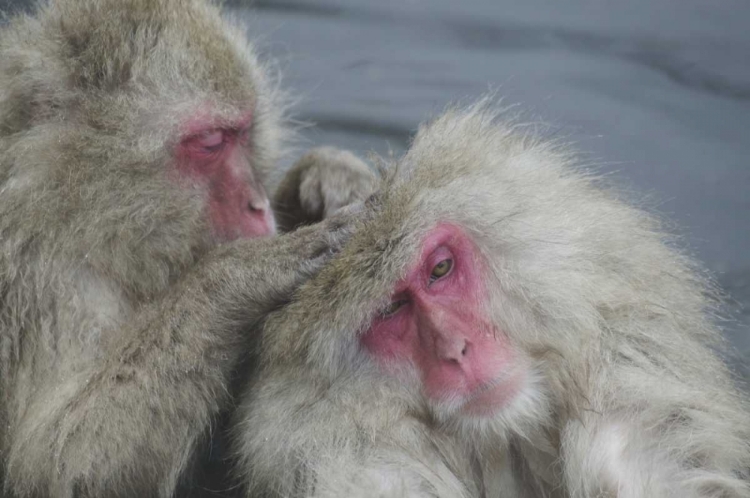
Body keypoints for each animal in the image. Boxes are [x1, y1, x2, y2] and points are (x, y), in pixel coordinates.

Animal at [0, 0, 376, 498]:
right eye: (211, 142)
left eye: (244, 133)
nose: (257, 205)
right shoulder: (38, 281)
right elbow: (62, 464)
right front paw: (244, 272)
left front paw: (326, 176)